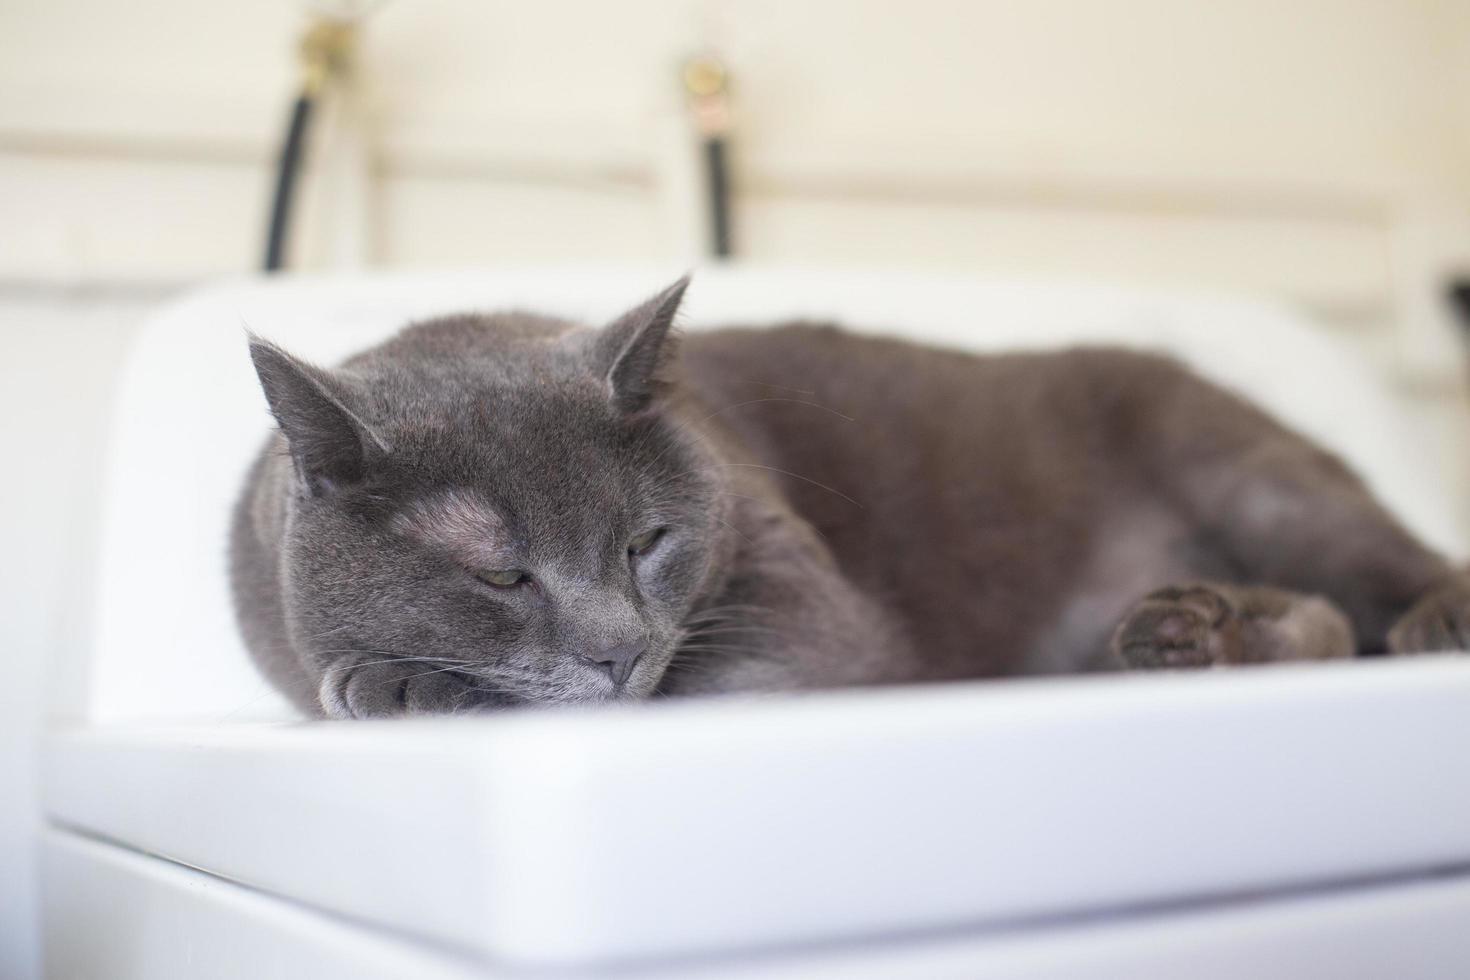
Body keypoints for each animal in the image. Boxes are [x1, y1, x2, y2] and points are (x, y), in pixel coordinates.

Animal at [226, 276, 1470, 719]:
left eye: (647, 541)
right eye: (500, 573)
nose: (620, 648)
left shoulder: (816, 616)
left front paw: (393, 681)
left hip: (1253, 475)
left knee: (1376, 575)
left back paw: (1417, 620)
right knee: (1318, 619)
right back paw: (1186, 631)